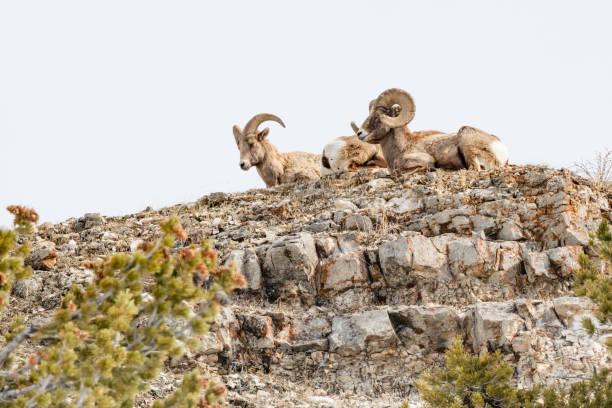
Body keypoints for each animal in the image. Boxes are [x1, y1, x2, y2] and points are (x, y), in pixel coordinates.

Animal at [352, 88, 510, 173]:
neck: (402, 147)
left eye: (379, 115)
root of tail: (500, 147)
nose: (360, 133)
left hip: (467, 140)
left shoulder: (423, 159)